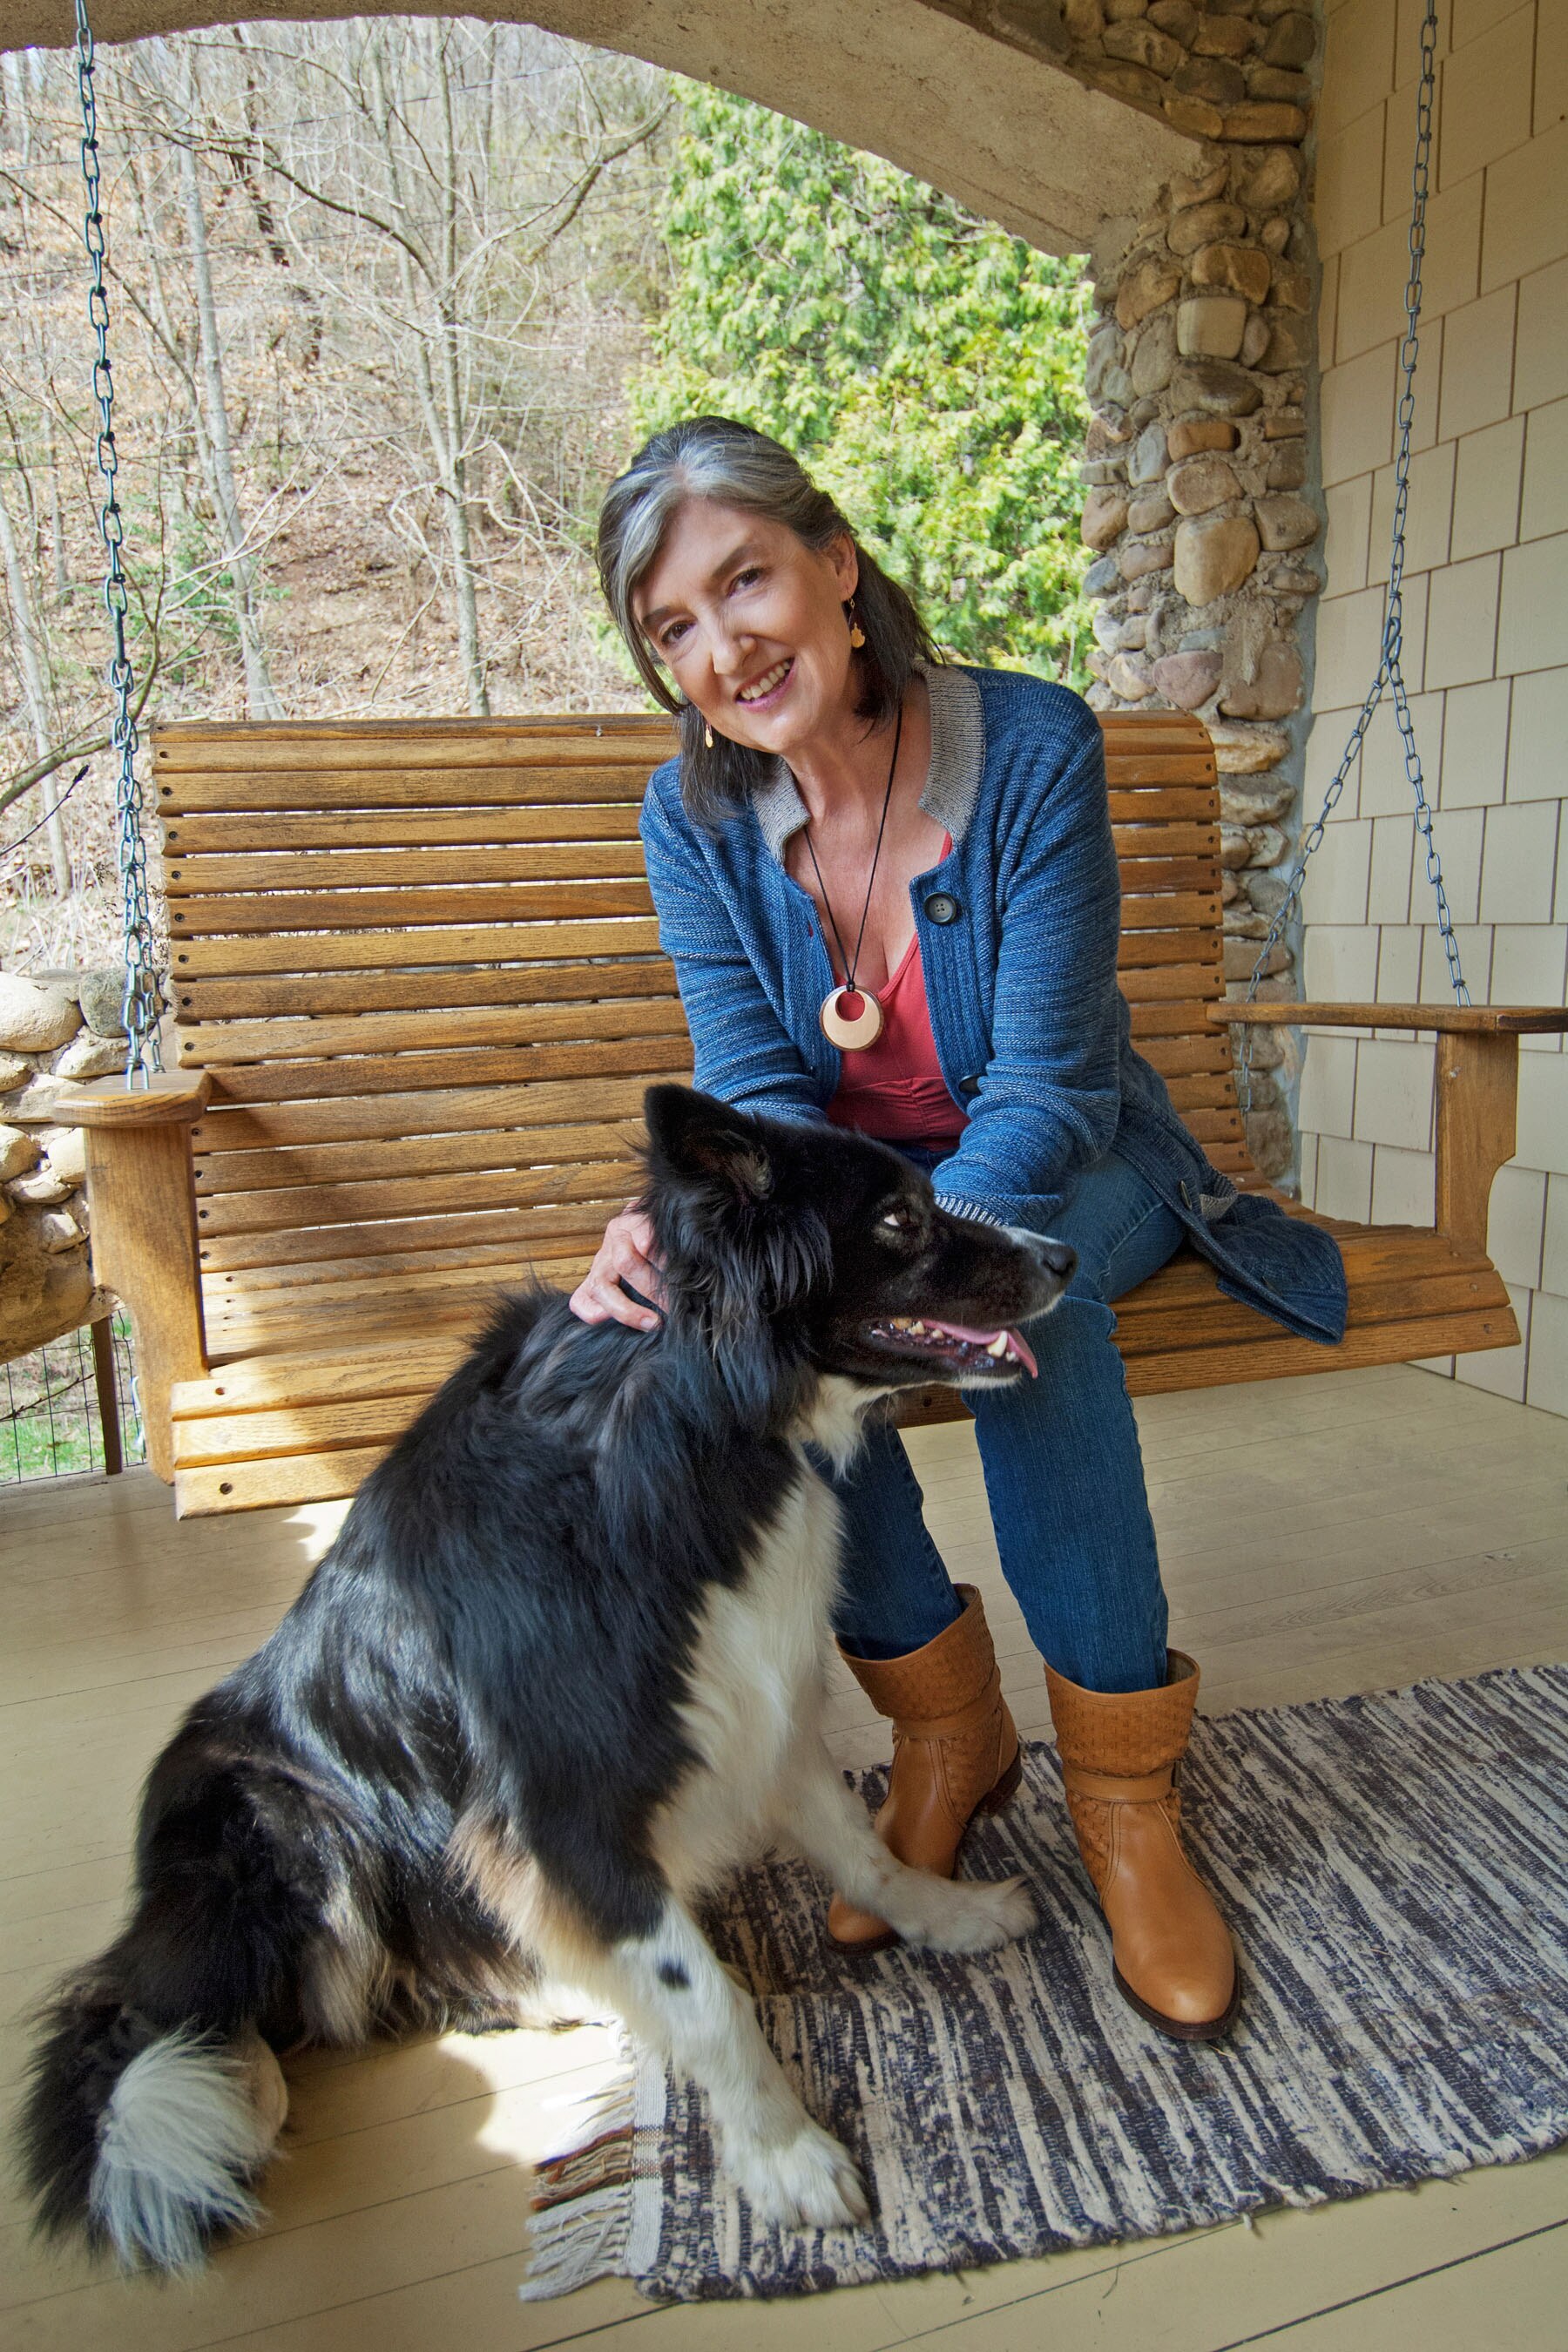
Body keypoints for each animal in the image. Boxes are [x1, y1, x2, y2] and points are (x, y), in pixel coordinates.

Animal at [24, 1082, 1071, 2258]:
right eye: (899, 1220)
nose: (1066, 1255)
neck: (690, 1422)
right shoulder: (566, 1804)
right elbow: (707, 1995)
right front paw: (787, 2159)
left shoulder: (747, 1700)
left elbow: (864, 1850)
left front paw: (948, 1916)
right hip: (283, 1813)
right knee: (239, 2018)